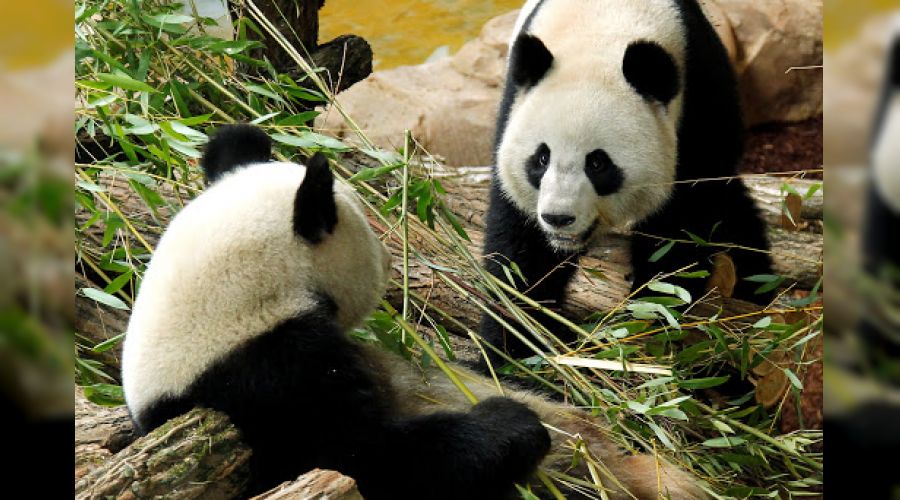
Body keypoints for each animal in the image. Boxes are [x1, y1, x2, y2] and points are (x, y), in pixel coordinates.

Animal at [482, 0, 773, 359]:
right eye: (541, 158)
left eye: (597, 163)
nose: (558, 218)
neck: (603, 25)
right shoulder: (514, 105)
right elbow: (522, 249)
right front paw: (515, 344)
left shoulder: (699, 97)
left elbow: (682, 225)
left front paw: (648, 317)